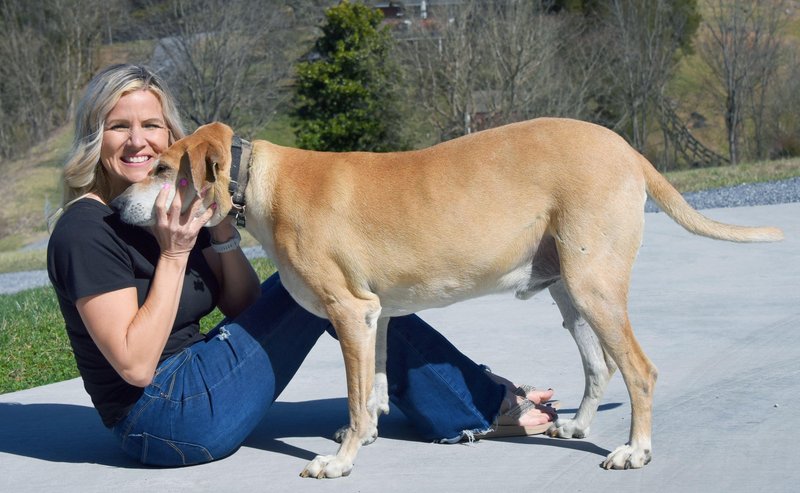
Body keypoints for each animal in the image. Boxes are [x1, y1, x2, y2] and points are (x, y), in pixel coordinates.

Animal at [112, 118, 780, 476]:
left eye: (161, 168)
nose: (115, 209)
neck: (259, 182)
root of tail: (625, 147)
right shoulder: (374, 315)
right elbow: (373, 391)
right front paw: (365, 438)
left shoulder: (349, 312)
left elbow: (357, 396)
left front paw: (341, 461)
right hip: (570, 291)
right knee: (600, 366)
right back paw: (576, 425)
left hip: (595, 286)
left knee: (639, 369)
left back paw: (634, 452)